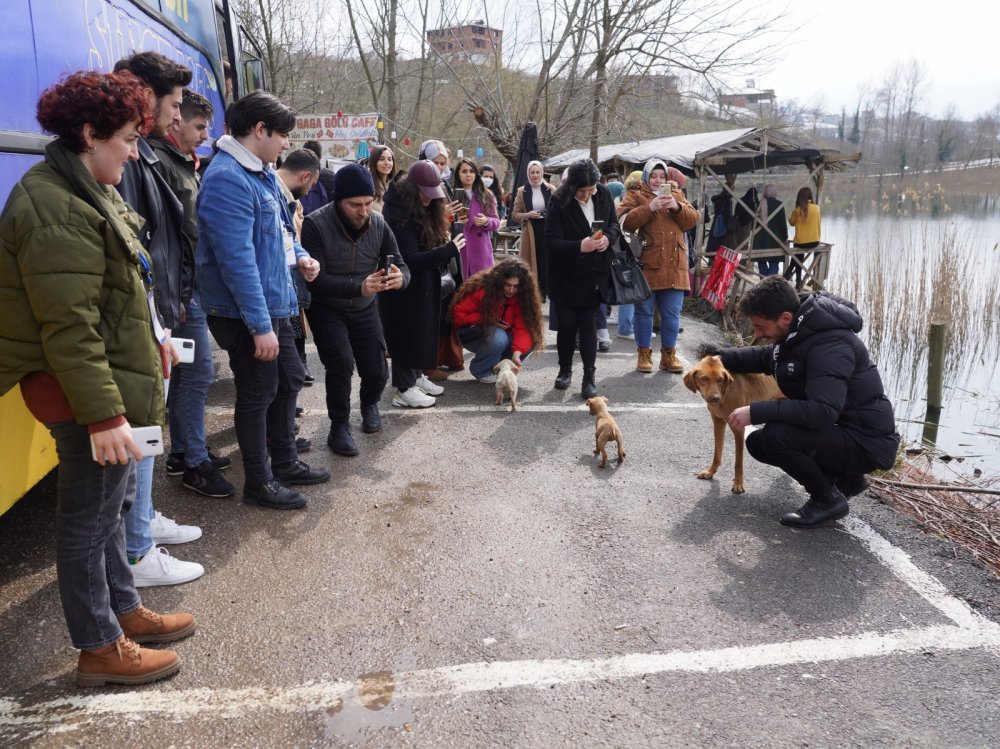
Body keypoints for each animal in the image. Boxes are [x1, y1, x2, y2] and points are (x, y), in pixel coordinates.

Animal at [684, 356, 784, 494]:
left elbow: (738, 462)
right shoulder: (718, 423)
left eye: (720, 380)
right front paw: (710, 472)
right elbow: (717, 453)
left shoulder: (738, 428)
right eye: (704, 378)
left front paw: (738, 483)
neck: (724, 394)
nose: (715, 398)